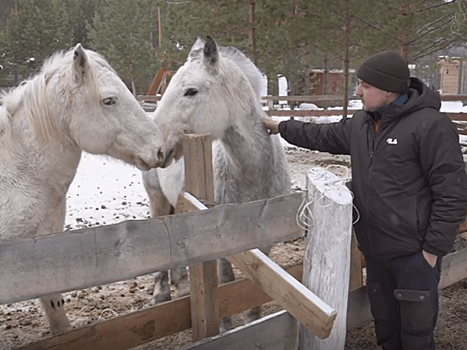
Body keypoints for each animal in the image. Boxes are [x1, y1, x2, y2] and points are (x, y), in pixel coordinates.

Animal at [143, 37, 290, 330]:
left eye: (191, 91)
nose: (156, 146)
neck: (252, 177)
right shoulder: (222, 244)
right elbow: (226, 282)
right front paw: (225, 328)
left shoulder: (264, 241)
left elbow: (255, 287)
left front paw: (252, 320)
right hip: (158, 200)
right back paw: (162, 294)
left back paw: (183, 286)